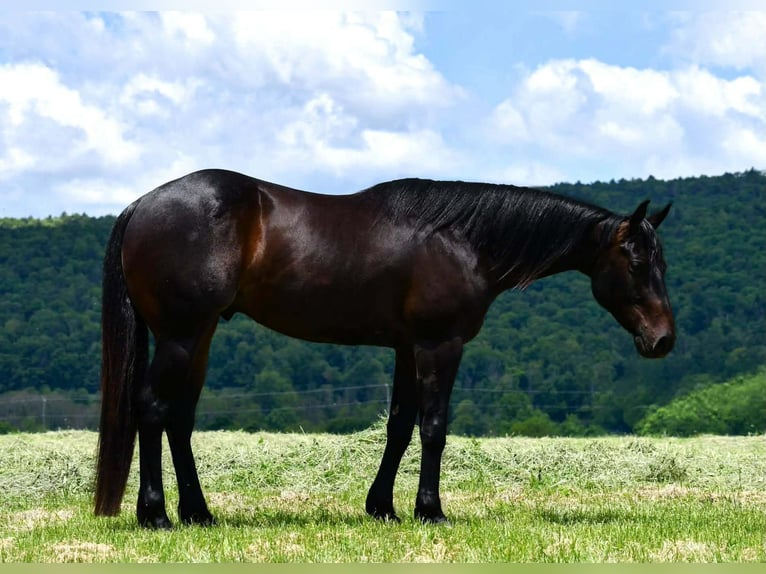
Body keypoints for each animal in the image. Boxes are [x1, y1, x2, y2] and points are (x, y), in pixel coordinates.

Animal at [94, 169, 674, 528]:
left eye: (660, 261)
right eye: (635, 261)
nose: (663, 339)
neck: (461, 239)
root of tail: (141, 205)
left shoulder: (405, 347)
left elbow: (399, 427)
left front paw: (383, 508)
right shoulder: (440, 345)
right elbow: (434, 429)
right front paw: (431, 510)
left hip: (201, 335)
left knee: (179, 419)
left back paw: (199, 513)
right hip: (181, 334)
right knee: (152, 409)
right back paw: (156, 515)